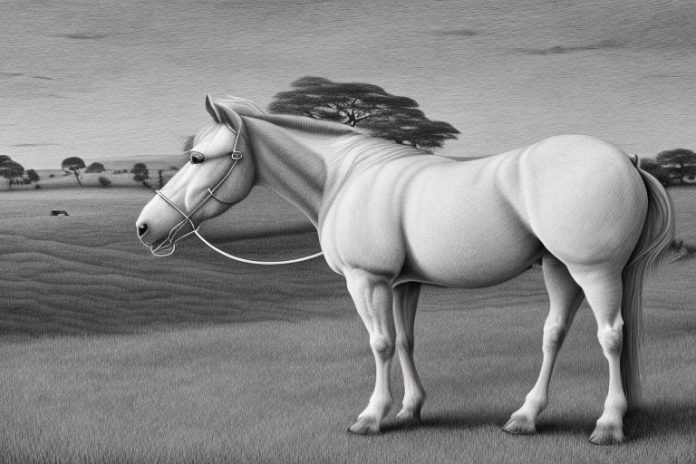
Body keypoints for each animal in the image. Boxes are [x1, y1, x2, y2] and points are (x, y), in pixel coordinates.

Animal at [136, 95, 674, 445]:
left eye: (197, 157)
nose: (144, 227)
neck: (346, 178)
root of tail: (627, 161)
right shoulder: (403, 284)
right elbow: (406, 341)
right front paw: (411, 410)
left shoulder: (367, 281)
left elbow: (380, 343)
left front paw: (372, 416)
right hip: (560, 269)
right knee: (555, 333)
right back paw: (526, 417)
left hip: (593, 270)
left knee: (611, 336)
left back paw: (608, 425)